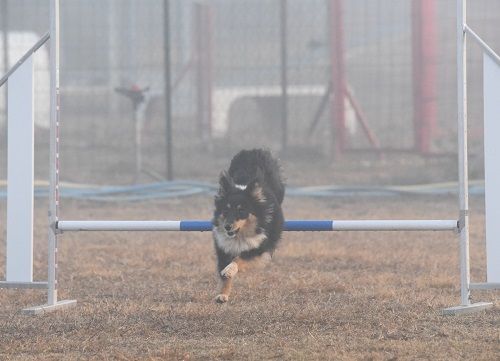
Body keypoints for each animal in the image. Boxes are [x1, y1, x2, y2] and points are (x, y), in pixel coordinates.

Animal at [211, 148, 286, 302]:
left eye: (241, 211)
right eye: (225, 211)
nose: (227, 227)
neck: (239, 235)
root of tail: (254, 151)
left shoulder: (259, 247)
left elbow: (239, 259)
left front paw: (229, 270)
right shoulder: (223, 248)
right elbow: (224, 275)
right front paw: (223, 294)